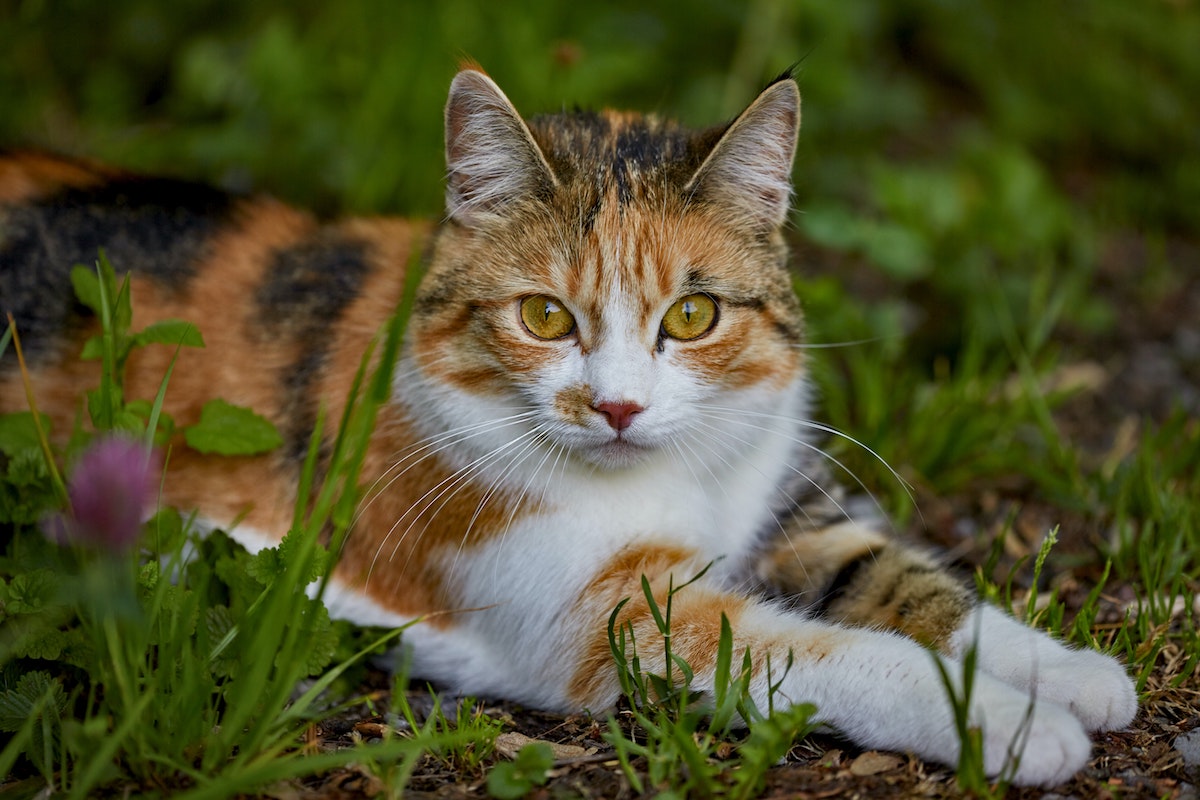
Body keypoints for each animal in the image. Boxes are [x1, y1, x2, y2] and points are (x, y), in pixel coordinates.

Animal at [2, 64, 1132, 786]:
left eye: (694, 315)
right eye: (545, 317)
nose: (619, 405)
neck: (669, 477)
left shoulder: (785, 512)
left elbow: (911, 585)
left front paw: (1074, 674)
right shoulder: (602, 612)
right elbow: (830, 652)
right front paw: (1014, 724)